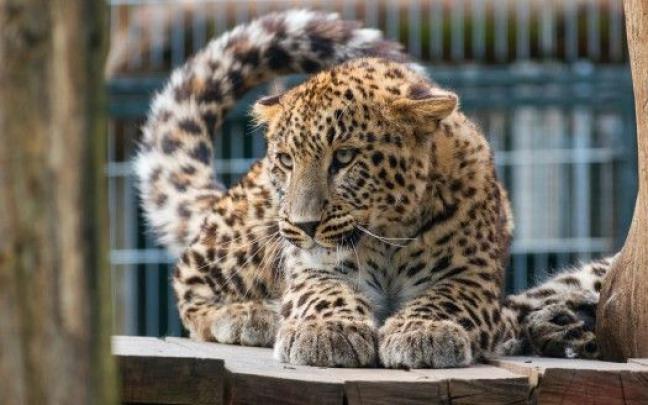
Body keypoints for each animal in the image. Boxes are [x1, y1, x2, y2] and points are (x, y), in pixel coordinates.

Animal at [134, 10, 617, 368]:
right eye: (287, 161)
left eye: (344, 158)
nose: (305, 225)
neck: (388, 236)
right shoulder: (314, 267)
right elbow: (323, 293)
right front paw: (328, 331)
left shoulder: (471, 278)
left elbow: (445, 300)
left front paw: (424, 332)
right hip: (248, 233)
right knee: (188, 281)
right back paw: (251, 315)